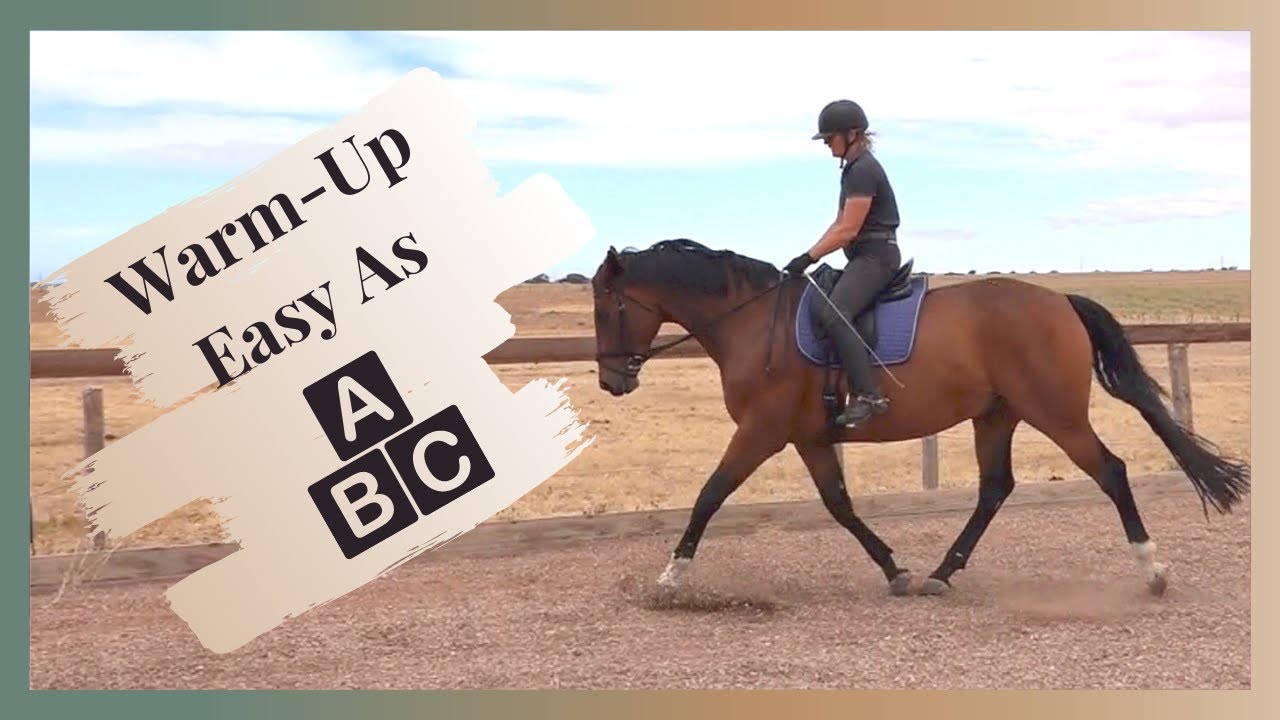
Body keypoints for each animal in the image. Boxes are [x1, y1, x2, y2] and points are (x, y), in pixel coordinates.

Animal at [589, 238, 1249, 597]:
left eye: (606, 307)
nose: (611, 381)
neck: (751, 321)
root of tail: (1060, 301)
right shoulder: (808, 438)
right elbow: (840, 505)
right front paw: (894, 569)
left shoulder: (760, 432)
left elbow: (710, 494)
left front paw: (672, 578)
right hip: (997, 417)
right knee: (995, 488)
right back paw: (941, 572)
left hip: (1055, 414)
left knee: (1110, 471)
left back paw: (1152, 570)